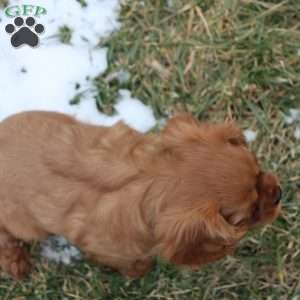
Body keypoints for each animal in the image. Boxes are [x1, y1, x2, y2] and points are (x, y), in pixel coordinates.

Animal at [0, 110, 282, 278]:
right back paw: (16, 261)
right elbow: (130, 263)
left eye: (258, 169)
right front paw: (140, 270)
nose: (279, 193)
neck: (151, 178)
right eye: (249, 214)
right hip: (27, 226)